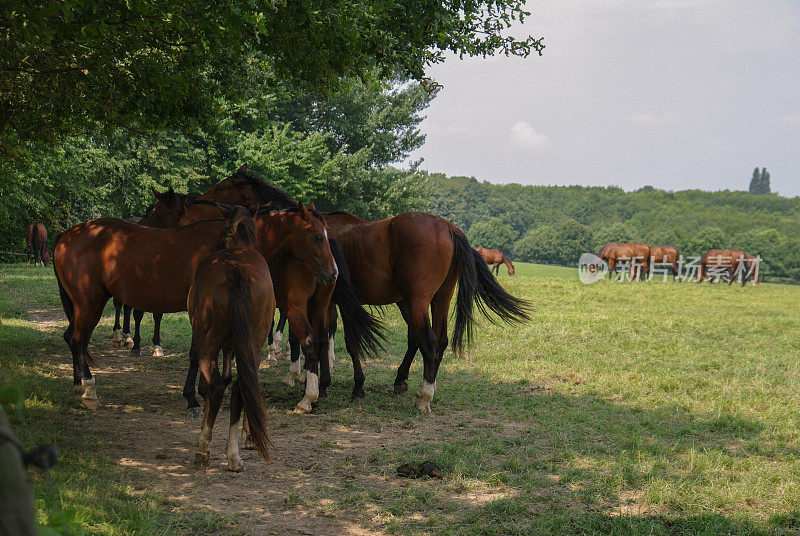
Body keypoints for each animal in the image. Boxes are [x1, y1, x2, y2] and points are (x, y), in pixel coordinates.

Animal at [52, 203, 334, 408]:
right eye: (318, 237)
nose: (333, 273)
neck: (224, 246)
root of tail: (67, 235)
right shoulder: (198, 310)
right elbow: (196, 352)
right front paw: (193, 396)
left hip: (94, 303)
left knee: (75, 338)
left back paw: (78, 384)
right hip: (87, 302)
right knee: (76, 339)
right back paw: (89, 390)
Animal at [322, 209, 536, 410]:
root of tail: (449, 228)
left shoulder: (341, 303)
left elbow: (346, 342)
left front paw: (352, 385)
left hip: (417, 301)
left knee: (427, 340)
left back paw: (424, 396)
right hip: (439, 299)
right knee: (438, 340)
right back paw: (422, 383)